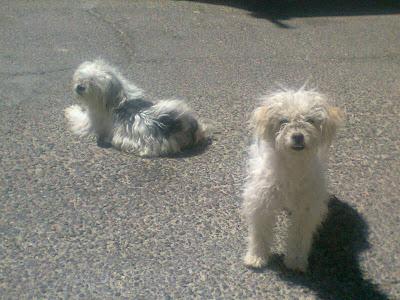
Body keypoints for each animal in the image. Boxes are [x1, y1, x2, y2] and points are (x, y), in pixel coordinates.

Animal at [65, 59, 206, 156]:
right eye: (81, 77)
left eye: (93, 82)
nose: (79, 87)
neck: (117, 99)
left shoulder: (90, 122)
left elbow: (78, 116)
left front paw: (70, 109)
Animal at [242, 87, 342, 272]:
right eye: (283, 121)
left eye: (310, 120)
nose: (298, 136)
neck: (292, 165)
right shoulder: (262, 204)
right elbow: (260, 233)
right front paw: (256, 257)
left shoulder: (306, 209)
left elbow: (299, 236)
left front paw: (295, 261)